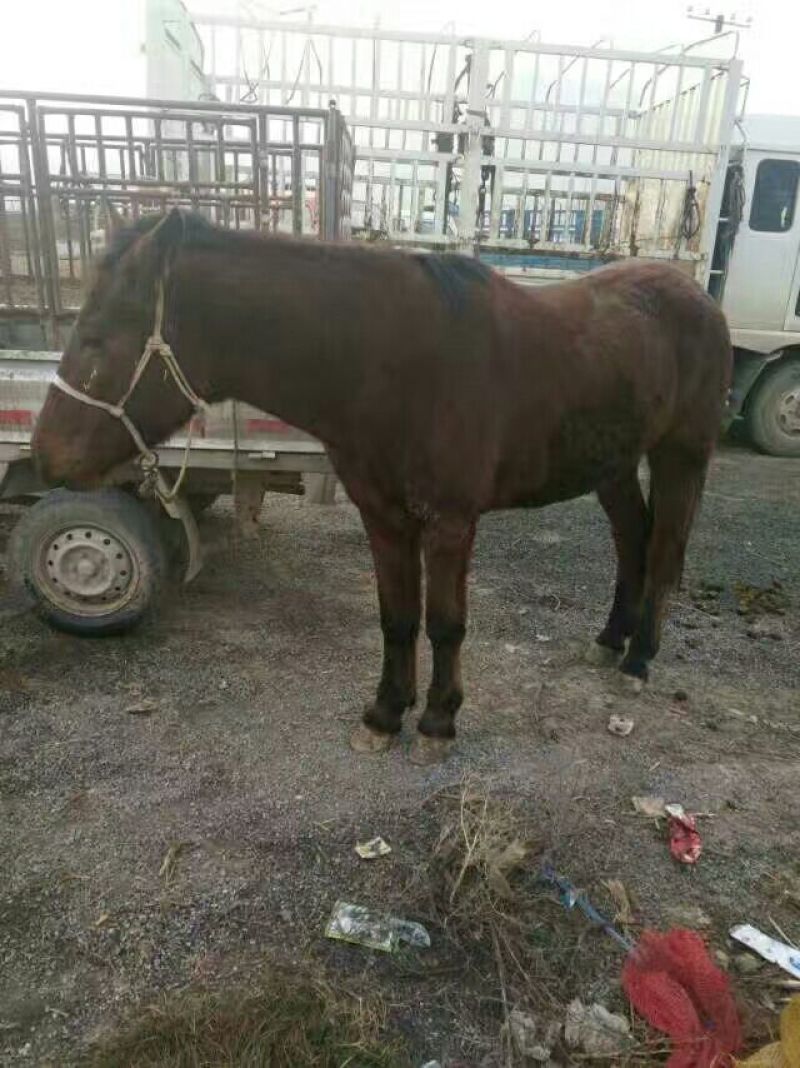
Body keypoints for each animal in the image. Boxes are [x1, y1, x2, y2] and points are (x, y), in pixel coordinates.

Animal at [32, 209, 732, 765]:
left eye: (96, 340)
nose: (45, 455)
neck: (389, 362)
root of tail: (699, 299)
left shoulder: (450, 521)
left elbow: (445, 623)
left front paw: (439, 722)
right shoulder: (384, 516)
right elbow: (396, 618)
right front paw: (385, 714)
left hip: (680, 456)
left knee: (662, 550)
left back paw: (639, 658)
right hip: (613, 463)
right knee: (632, 542)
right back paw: (612, 640)